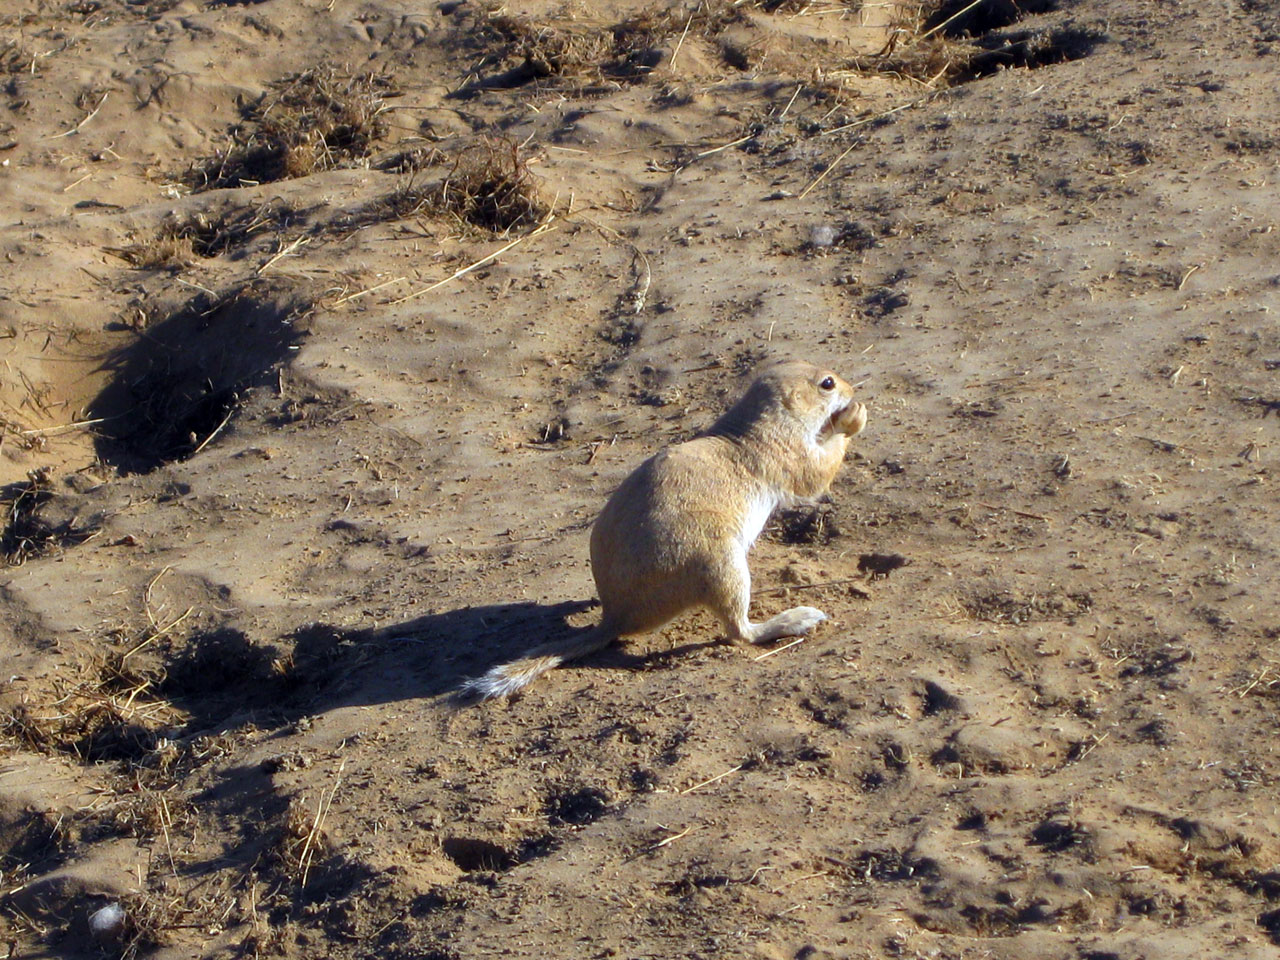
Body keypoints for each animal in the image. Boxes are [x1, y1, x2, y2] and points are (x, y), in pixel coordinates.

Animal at [460, 360, 870, 701]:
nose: (852, 388)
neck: (752, 424)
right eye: (827, 383)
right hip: (721, 562)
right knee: (739, 632)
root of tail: (616, 616)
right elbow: (817, 473)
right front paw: (854, 417)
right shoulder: (788, 452)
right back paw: (795, 619)